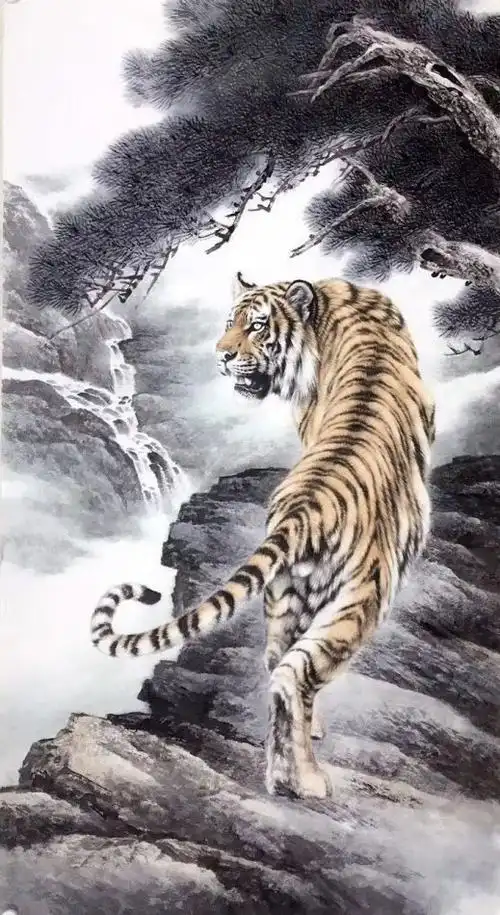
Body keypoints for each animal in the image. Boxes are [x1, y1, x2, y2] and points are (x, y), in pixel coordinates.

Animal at [91, 271, 435, 800]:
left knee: (277, 664)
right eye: (228, 323)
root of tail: (307, 504)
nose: (222, 354)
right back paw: (308, 780)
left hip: (287, 593)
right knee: (294, 675)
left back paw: (278, 774)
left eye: (255, 326)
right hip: (360, 602)